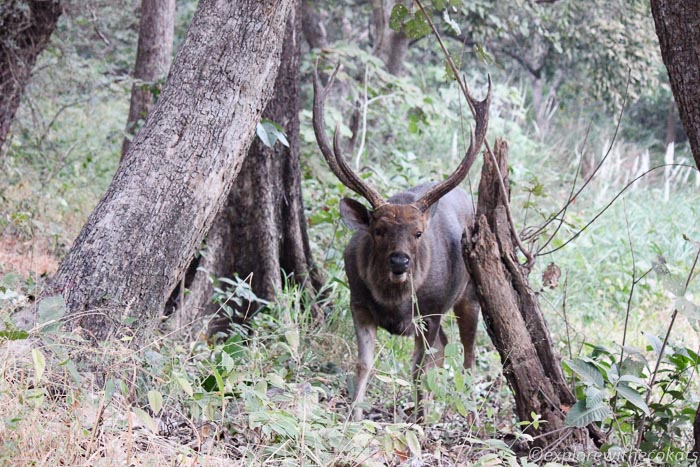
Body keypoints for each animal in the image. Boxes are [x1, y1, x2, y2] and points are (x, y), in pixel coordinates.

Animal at [314, 65, 490, 420]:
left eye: (418, 233)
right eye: (378, 230)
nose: (399, 261)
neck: (394, 302)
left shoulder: (431, 311)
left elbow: (418, 369)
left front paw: (418, 421)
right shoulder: (358, 303)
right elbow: (364, 364)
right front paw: (354, 416)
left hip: (469, 293)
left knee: (468, 353)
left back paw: (468, 409)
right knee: (446, 347)